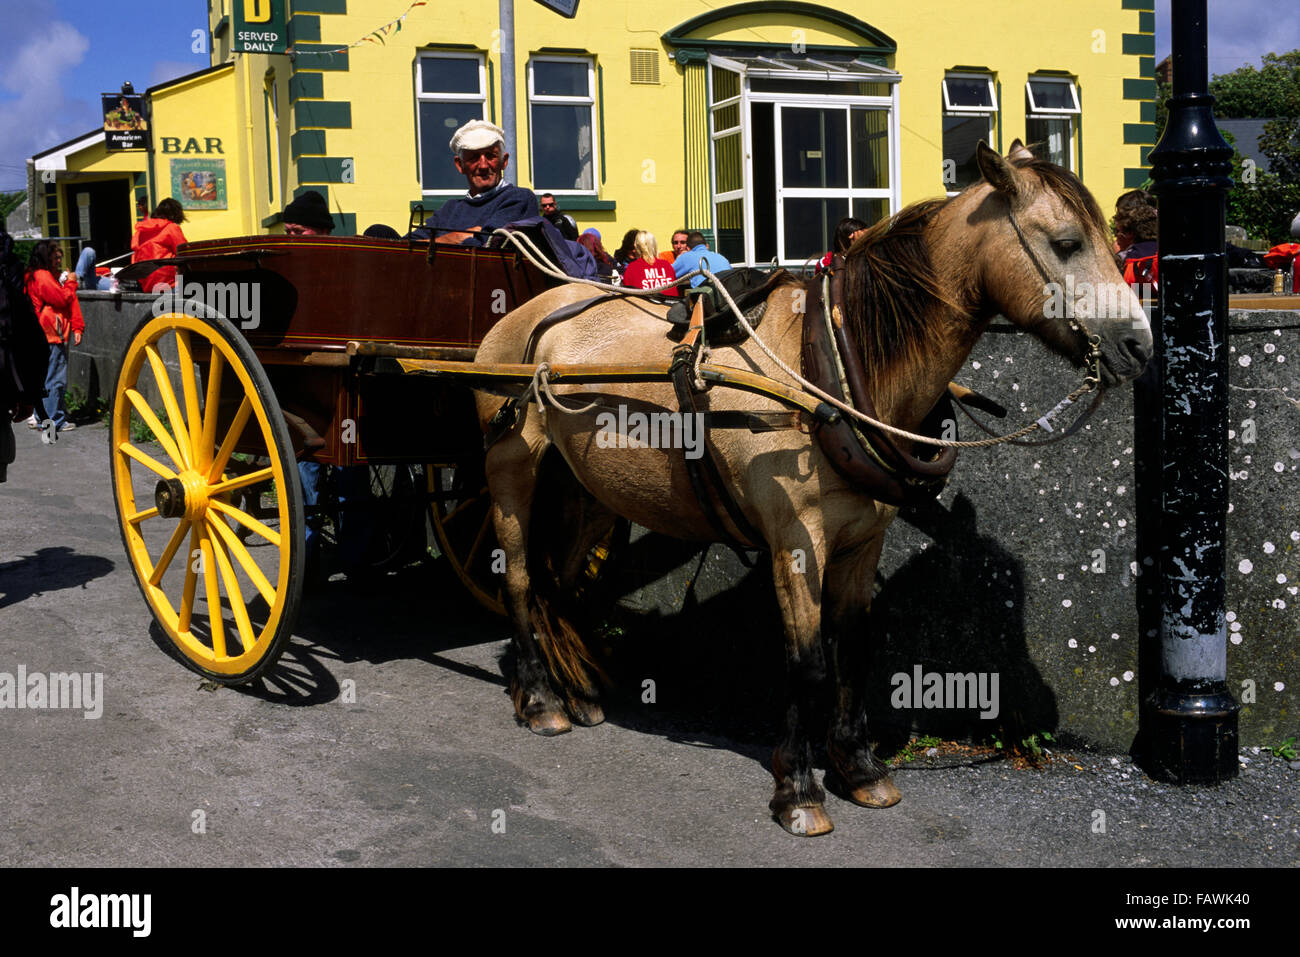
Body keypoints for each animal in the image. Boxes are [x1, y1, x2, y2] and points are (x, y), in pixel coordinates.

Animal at [471, 141, 1152, 836]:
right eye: (1067, 242)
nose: (1140, 345)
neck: (826, 370)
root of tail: (527, 315)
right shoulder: (796, 540)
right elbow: (808, 661)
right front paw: (797, 786)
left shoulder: (863, 540)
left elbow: (853, 649)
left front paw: (858, 767)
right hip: (511, 467)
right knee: (519, 575)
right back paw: (540, 699)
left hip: (587, 489)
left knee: (559, 579)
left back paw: (579, 692)